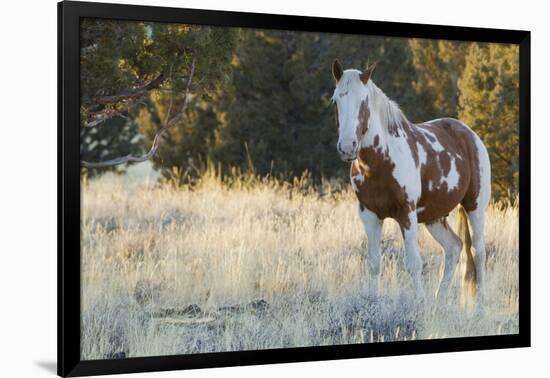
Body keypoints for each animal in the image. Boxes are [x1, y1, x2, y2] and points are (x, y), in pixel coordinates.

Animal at [330, 59, 494, 308]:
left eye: (364, 101)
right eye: (336, 100)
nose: (347, 147)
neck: (381, 161)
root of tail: (469, 134)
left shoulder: (406, 214)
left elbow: (413, 264)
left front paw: (419, 304)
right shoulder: (369, 215)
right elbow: (374, 264)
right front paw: (372, 304)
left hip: (475, 206)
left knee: (478, 250)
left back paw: (480, 306)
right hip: (434, 216)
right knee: (454, 247)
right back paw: (439, 302)